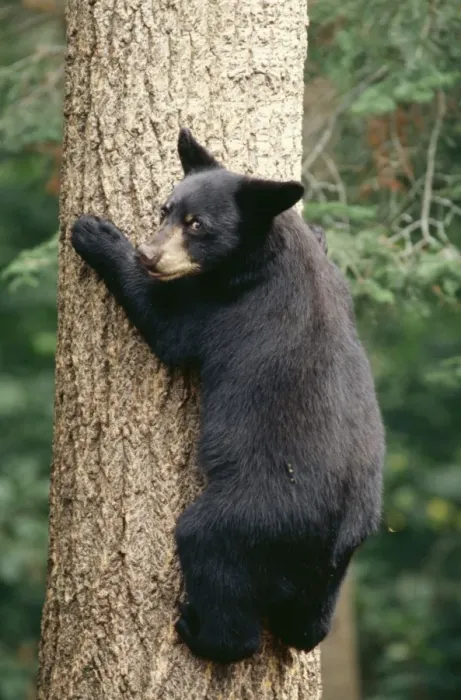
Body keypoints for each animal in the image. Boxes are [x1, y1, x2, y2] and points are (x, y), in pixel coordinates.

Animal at [71, 128, 385, 664]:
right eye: (165, 209)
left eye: (197, 225)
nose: (148, 255)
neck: (267, 250)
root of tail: (329, 538)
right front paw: (320, 230)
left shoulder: (223, 304)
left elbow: (167, 326)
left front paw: (95, 234)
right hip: (341, 563)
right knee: (307, 626)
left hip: (253, 514)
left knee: (208, 553)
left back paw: (199, 631)